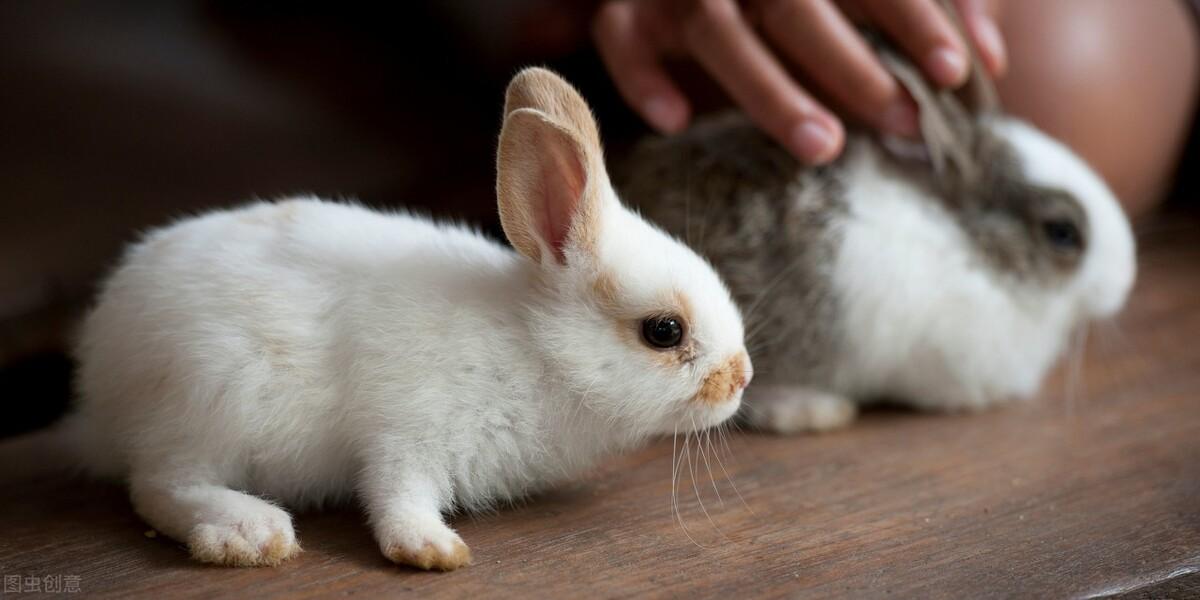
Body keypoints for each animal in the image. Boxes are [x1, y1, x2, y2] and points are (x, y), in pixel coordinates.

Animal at [65, 68, 748, 568]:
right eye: (664, 331)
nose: (740, 379)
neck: (537, 348)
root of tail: (100, 379)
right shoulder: (408, 433)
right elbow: (397, 495)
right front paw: (433, 549)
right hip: (211, 399)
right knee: (159, 484)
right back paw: (250, 533)